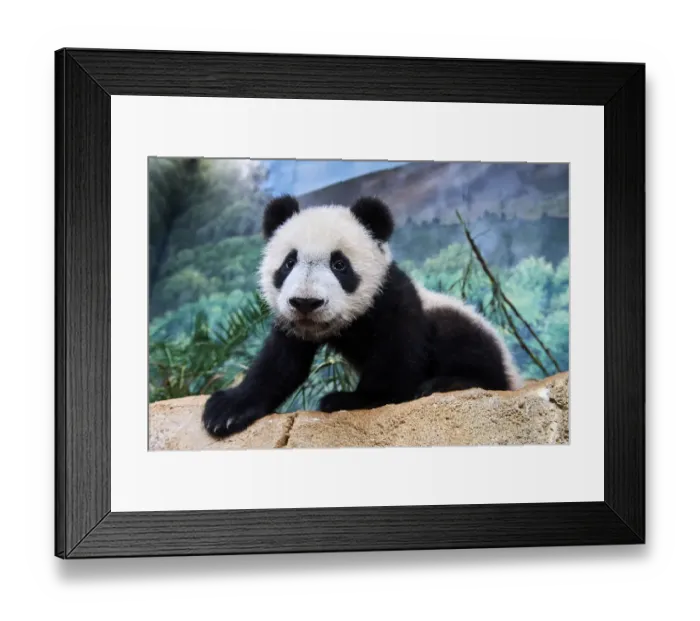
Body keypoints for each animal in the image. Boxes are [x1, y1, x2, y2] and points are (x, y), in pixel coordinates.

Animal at [202, 194, 522, 437]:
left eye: (339, 264)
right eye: (289, 262)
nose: (306, 302)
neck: (346, 323)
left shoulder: (392, 299)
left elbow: (396, 359)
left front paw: (352, 399)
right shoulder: (289, 319)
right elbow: (280, 363)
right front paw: (226, 410)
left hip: (466, 327)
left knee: (469, 349)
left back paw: (447, 383)